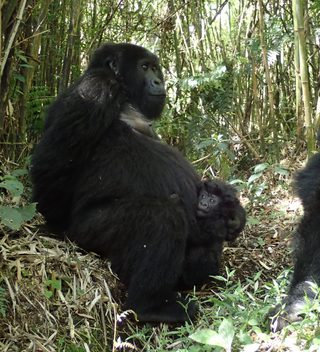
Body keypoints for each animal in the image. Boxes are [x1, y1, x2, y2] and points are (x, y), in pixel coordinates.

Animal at [30, 42, 245, 324]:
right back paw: (151, 305)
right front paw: (52, 226)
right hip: (87, 232)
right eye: (144, 67)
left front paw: (230, 210)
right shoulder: (97, 88)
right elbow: (50, 167)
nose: (159, 80)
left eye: (155, 67)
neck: (125, 96)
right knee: (161, 215)